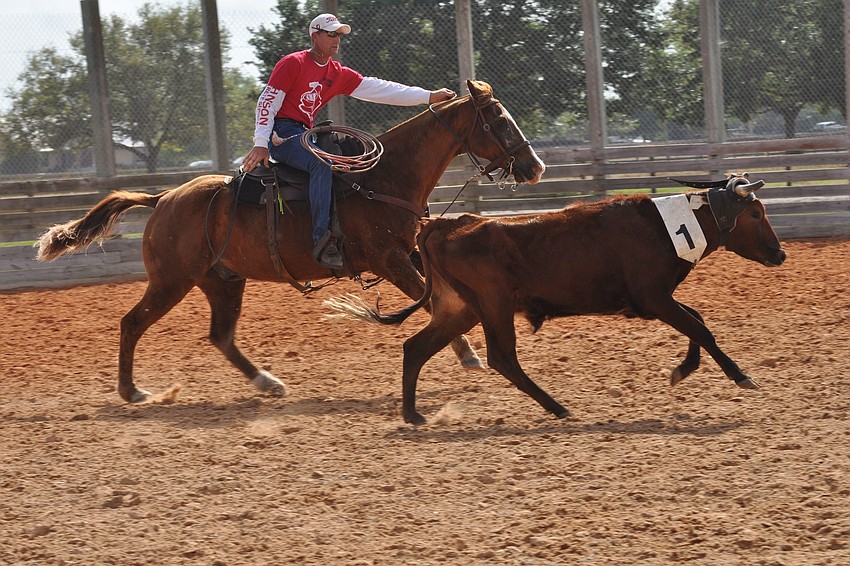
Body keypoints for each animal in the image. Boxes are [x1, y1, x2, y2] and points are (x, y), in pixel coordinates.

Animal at [327, 173, 787, 424]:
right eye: (756, 214)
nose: (780, 254)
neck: (664, 225)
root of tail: (442, 225)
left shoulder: (655, 301)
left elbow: (696, 321)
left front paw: (682, 369)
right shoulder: (654, 298)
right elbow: (700, 326)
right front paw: (741, 376)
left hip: (461, 309)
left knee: (415, 348)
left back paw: (413, 414)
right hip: (492, 305)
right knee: (502, 358)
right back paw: (557, 407)